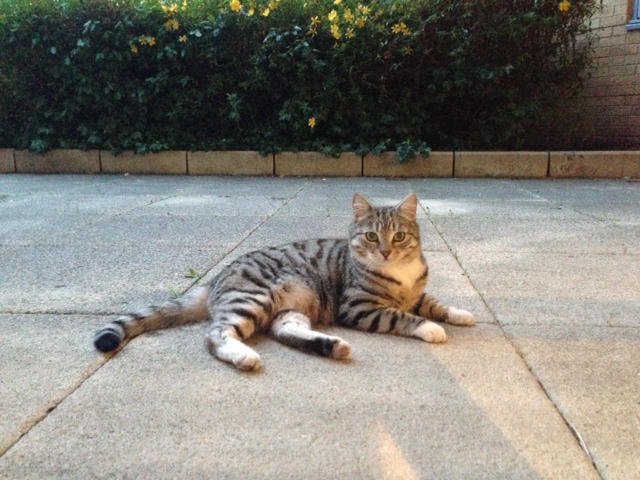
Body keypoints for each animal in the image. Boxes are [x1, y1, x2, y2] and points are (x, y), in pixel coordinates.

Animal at [95, 194, 476, 372]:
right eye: (370, 236)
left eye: (398, 236)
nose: (384, 251)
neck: (401, 275)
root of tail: (219, 274)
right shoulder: (359, 307)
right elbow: (403, 315)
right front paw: (429, 327)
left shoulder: (417, 293)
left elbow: (433, 302)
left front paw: (459, 314)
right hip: (251, 298)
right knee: (215, 335)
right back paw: (243, 355)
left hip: (292, 308)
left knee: (284, 332)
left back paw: (330, 346)